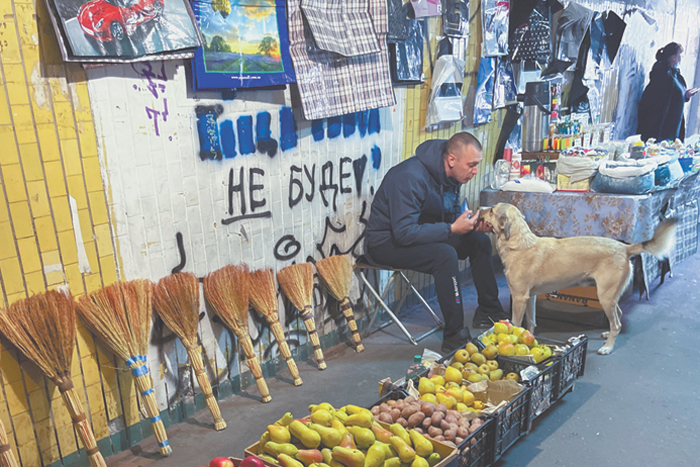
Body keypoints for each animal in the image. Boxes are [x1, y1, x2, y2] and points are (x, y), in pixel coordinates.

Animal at [478, 204, 676, 354]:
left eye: (492, 210)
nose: (479, 208)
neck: (519, 244)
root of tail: (624, 248)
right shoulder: (530, 297)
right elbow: (531, 323)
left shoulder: (519, 298)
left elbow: (516, 323)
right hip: (610, 297)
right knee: (617, 317)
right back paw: (607, 335)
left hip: (605, 297)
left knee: (617, 323)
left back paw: (608, 347)